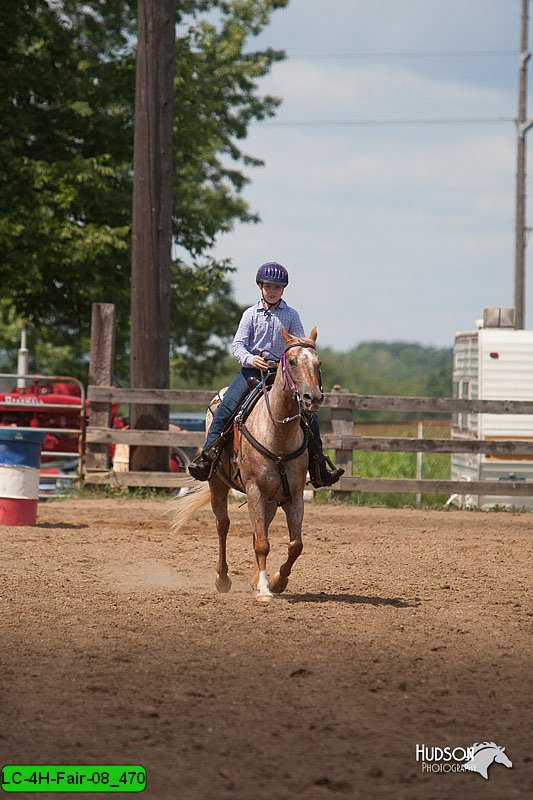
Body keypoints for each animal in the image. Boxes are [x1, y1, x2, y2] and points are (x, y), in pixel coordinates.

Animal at [172, 324, 324, 600]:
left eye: (319, 363)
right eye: (293, 362)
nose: (313, 398)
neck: (277, 432)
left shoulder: (294, 494)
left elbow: (295, 544)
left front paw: (276, 581)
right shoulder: (254, 490)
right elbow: (262, 543)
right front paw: (264, 589)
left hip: (271, 499)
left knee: (258, 530)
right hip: (218, 484)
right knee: (223, 526)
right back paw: (222, 578)